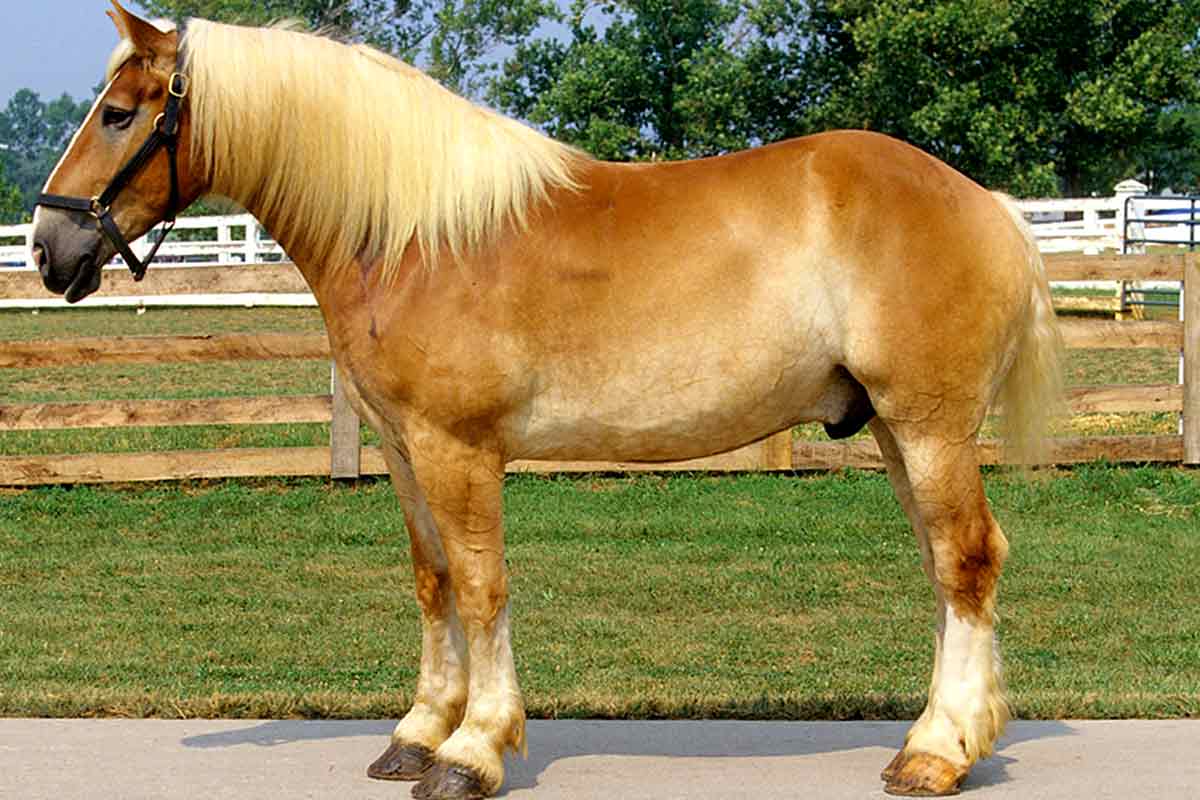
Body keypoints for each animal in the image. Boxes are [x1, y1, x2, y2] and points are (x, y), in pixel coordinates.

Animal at [32, 3, 1062, 797]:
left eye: (118, 115)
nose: (48, 248)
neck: (414, 236)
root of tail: (988, 202)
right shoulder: (404, 449)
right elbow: (434, 581)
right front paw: (417, 733)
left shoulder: (458, 449)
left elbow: (482, 585)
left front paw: (472, 749)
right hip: (894, 431)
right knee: (946, 568)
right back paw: (944, 736)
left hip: (928, 428)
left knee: (967, 562)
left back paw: (936, 753)